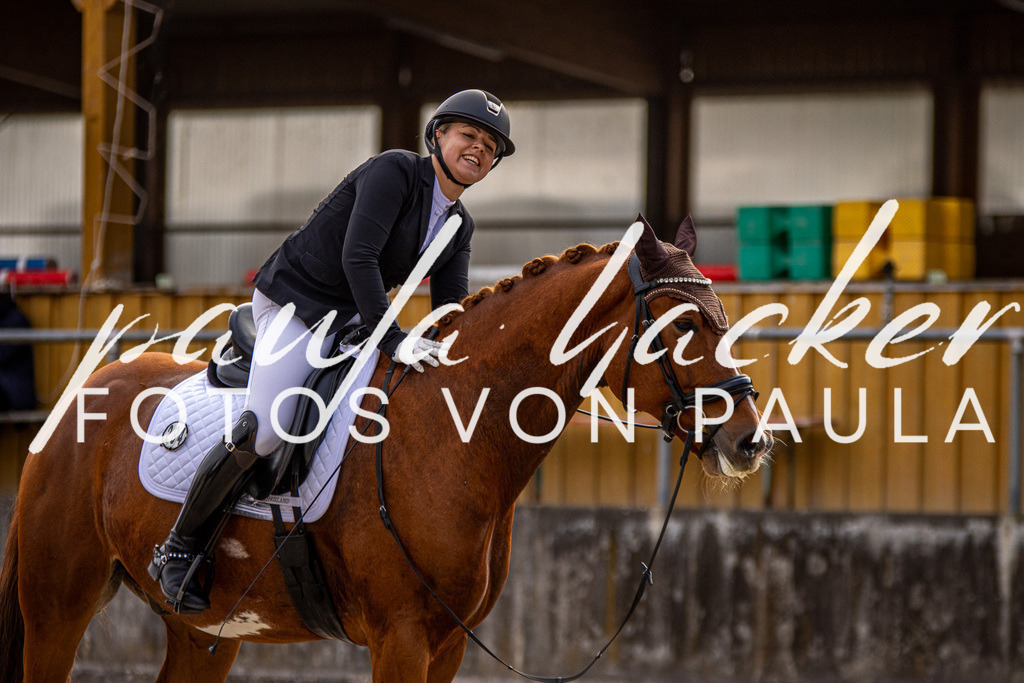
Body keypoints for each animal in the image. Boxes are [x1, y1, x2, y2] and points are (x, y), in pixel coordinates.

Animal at [0, 217, 771, 682]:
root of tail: (81, 390)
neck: (455, 430)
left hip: (204, 631)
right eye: (681, 326)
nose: (749, 440)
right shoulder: (399, 635)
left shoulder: (448, 642)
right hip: (58, 606)